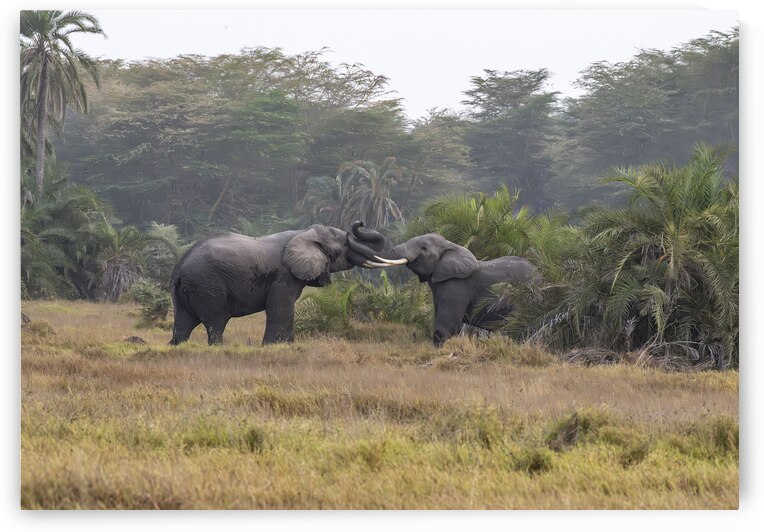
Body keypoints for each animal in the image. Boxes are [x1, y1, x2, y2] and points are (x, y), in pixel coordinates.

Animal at [169, 222, 386, 345]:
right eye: (346, 244)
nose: (358, 223)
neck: (305, 233)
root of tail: (178, 270)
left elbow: (287, 310)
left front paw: (287, 347)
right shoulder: (283, 276)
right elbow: (280, 308)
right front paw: (270, 347)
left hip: (187, 291)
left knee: (183, 322)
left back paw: (176, 346)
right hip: (207, 286)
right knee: (216, 321)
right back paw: (218, 348)